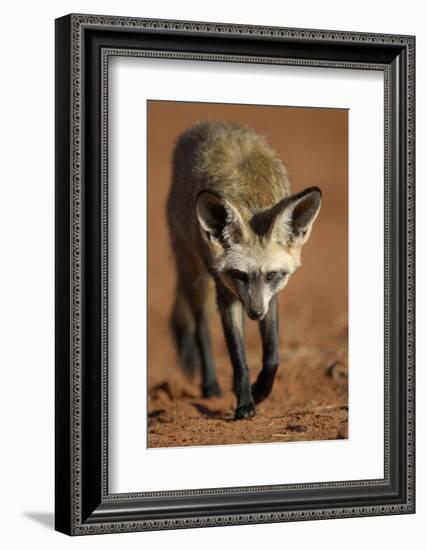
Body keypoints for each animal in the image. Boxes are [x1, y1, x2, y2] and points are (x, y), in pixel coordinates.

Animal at [166, 123, 320, 420]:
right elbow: (238, 359)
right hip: (194, 275)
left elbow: (272, 356)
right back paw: (210, 385)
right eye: (239, 275)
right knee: (201, 329)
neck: (252, 194)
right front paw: (245, 403)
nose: (255, 313)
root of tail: (206, 124)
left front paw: (260, 390)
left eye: (272, 275)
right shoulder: (225, 292)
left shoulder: (271, 296)